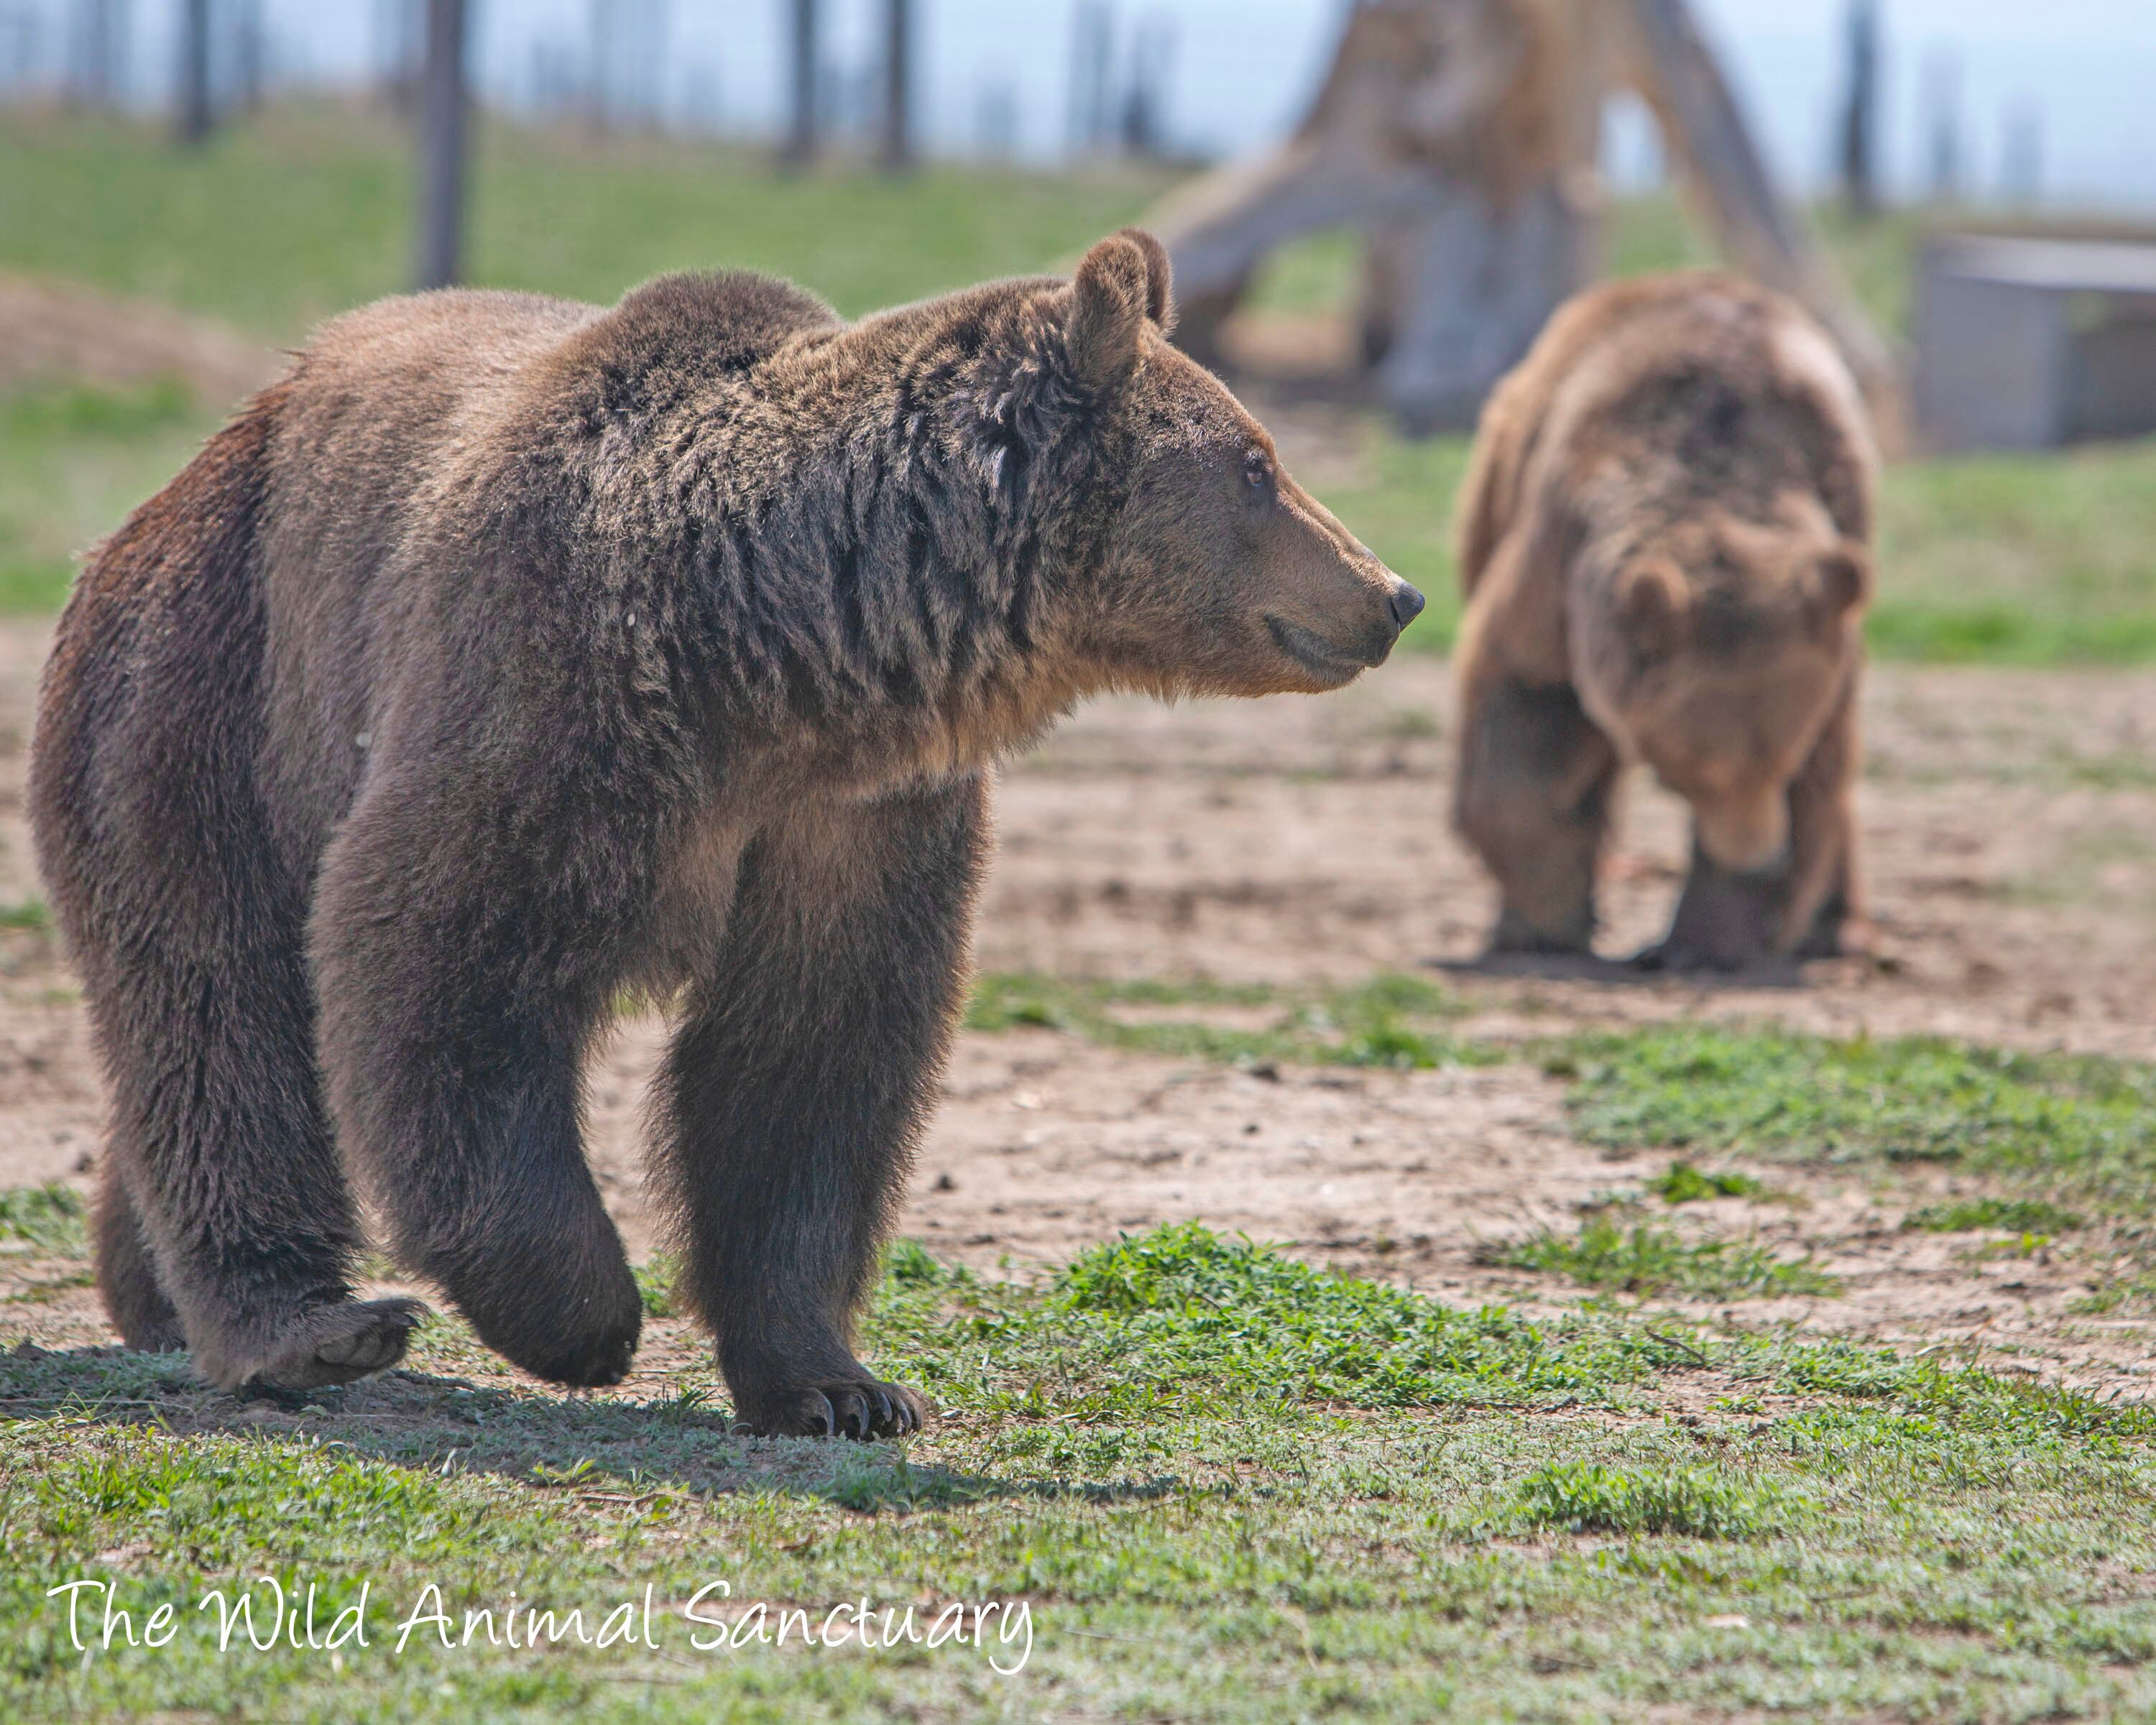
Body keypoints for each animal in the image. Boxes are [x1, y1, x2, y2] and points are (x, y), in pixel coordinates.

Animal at [29, 233, 1414, 1440]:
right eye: (1257, 461)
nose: (1391, 592)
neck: (772, 646)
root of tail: (201, 458)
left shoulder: (853, 817)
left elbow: (808, 1059)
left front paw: (841, 1386)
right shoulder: (541, 697)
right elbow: (434, 961)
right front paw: (586, 1317)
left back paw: (152, 1288)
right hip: (210, 681)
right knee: (215, 992)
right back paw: (309, 1326)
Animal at [1449, 272, 1889, 970]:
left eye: (1781, 757)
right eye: (1698, 767)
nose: (1763, 858)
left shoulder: (1831, 616)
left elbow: (1823, 775)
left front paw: (1717, 936)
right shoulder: (1558, 565)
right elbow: (1524, 704)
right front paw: (1547, 918)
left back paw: (1838, 931)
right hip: (1497, 494)